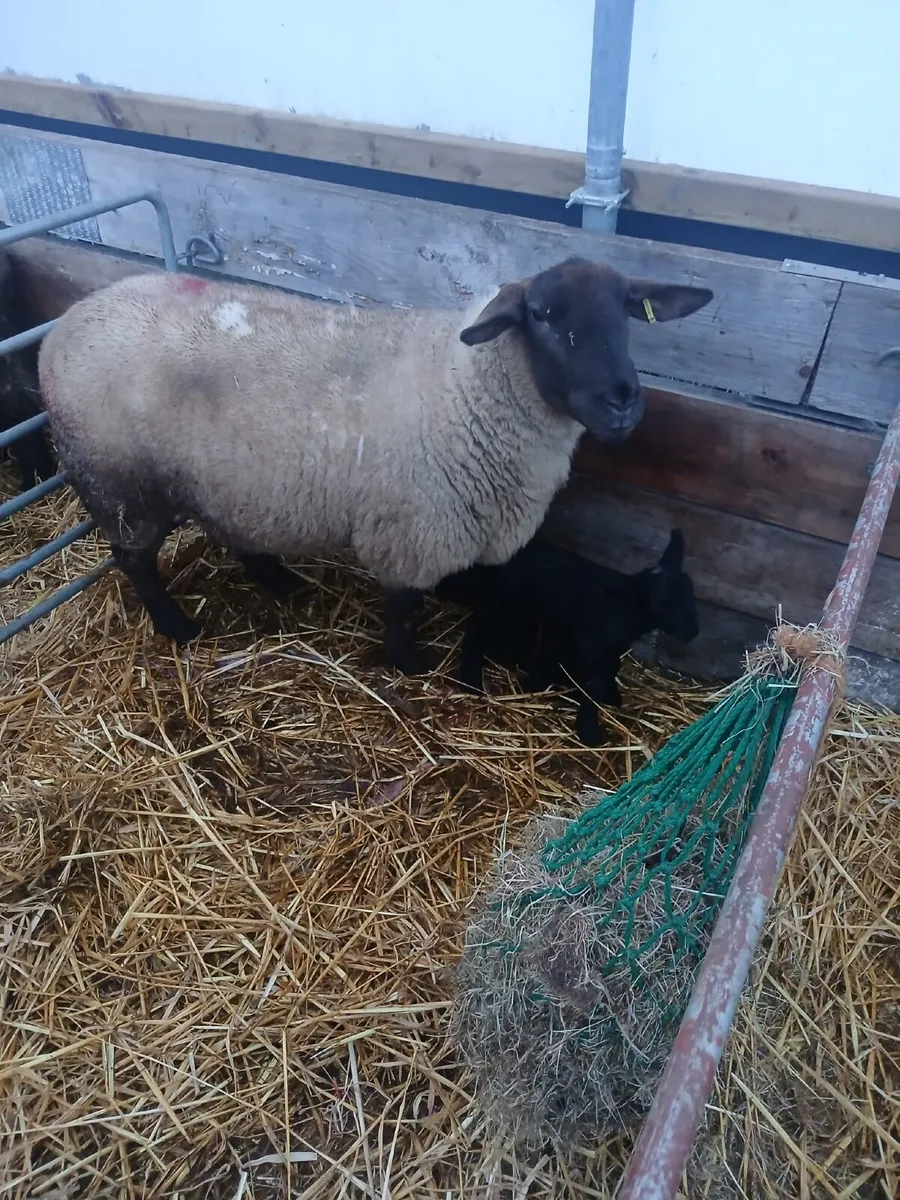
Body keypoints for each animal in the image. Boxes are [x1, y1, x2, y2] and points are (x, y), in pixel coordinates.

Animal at [37, 257, 712, 672]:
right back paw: (177, 627)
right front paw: (409, 666)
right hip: (120, 483)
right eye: (543, 315)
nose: (621, 401)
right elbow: (403, 608)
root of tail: (64, 326)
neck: (465, 384)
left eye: (629, 309)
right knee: (134, 559)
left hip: (216, 474)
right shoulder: (412, 529)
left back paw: (279, 579)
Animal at [434, 529, 699, 745]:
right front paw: (589, 730)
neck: (627, 607)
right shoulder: (593, 645)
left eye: (690, 595)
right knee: (476, 634)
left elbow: (606, 669)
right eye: (663, 602)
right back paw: (472, 683)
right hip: (506, 607)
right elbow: (593, 684)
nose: (693, 631)